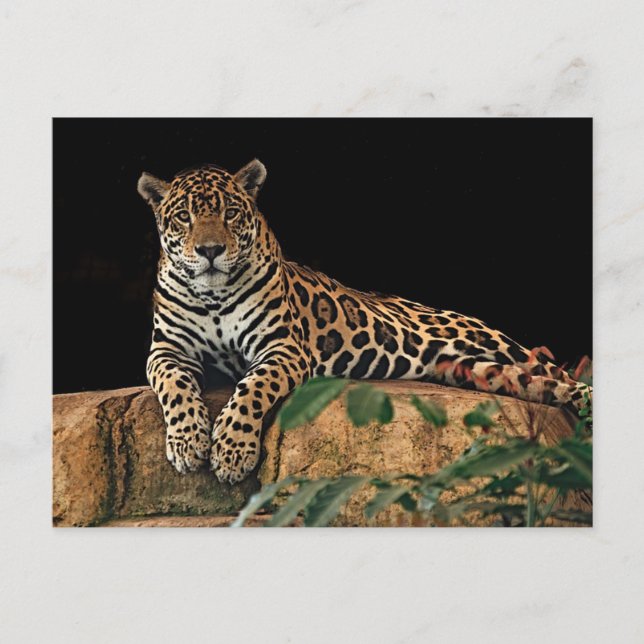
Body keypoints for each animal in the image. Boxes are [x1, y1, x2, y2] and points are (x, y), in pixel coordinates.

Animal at [137, 160, 592, 484]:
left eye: (231, 213)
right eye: (183, 218)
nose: (210, 250)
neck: (212, 295)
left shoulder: (282, 347)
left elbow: (251, 389)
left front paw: (232, 452)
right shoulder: (167, 350)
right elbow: (174, 385)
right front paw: (187, 443)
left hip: (498, 344)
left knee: (561, 373)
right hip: (484, 371)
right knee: (547, 386)